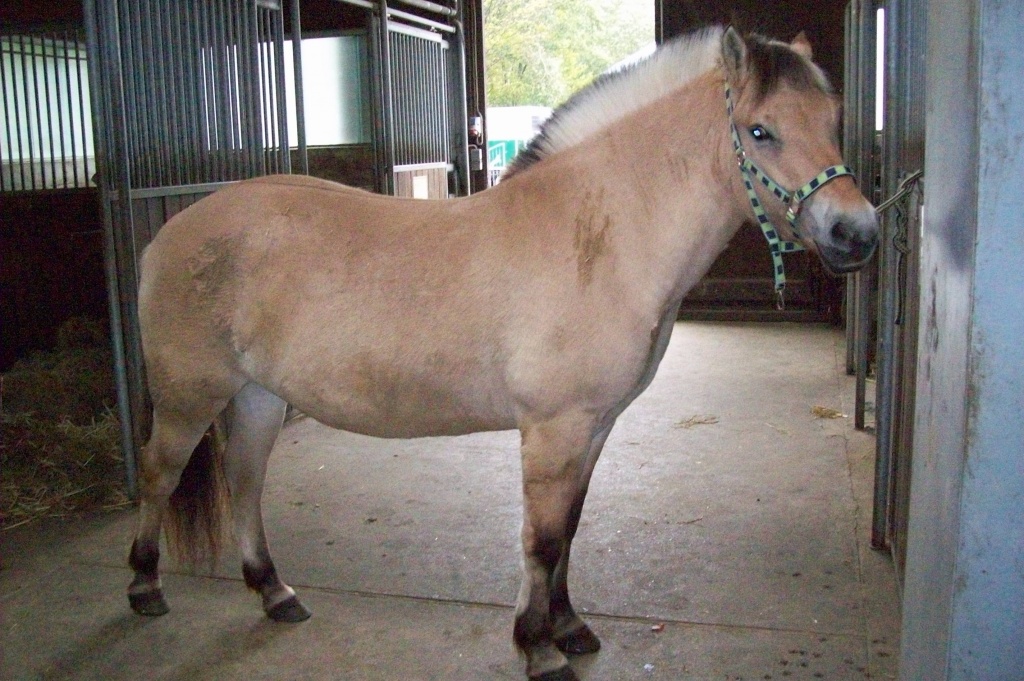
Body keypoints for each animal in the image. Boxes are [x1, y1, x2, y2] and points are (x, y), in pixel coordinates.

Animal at [126, 26, 878, 681]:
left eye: (833, 119)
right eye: (760, 130)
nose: (857, 233)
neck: (595, 233)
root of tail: (169, 231)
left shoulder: (594, 427)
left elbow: (568, 529)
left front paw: (569, 627)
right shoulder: (554, 428)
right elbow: (540, 539)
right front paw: (539, 648)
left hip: (257, 396)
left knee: (245, 481)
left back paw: (275, 591)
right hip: (189, 396)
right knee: (160, 474)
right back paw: (144, 586)